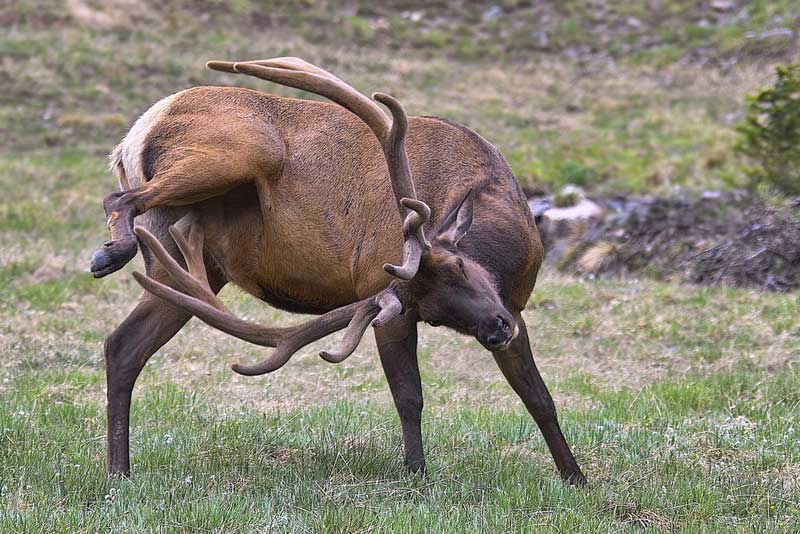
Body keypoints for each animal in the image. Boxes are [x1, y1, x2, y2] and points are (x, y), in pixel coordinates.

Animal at [90, 57, 584, 486]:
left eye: (459, 265)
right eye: (433, 311)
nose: (495, 328)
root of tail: (132, 138)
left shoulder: (514, 307)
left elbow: (538, 396)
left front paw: (575, 477)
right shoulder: (386, 301)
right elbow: (409, 395)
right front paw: (417, 475)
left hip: (188, 269)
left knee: (124, 344)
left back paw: (119, 471)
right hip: (242, 152)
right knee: (118, 202)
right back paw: (111, 253)